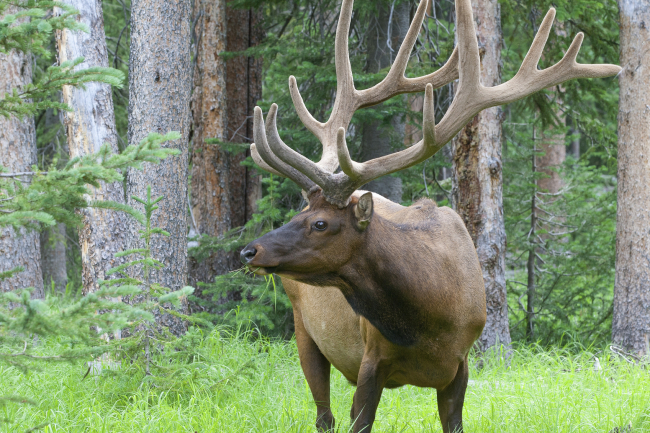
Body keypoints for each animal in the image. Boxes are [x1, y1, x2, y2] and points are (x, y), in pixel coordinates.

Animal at [237, 0, 616, 430]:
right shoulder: (371, 360)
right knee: (324, 415)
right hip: (304, 328)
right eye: (300, 215)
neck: (428, 321)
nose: (249, 251)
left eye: (320, 223)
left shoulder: (460, 366)